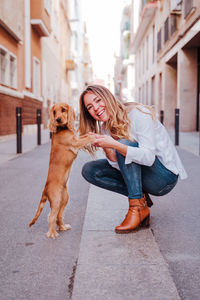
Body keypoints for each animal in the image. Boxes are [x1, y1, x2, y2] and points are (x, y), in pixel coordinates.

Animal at [28, 103, 94, 239]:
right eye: (54, 112)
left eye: (63, 110)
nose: (58, 119)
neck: (62, 129)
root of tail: (45, 189)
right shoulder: (75, 143)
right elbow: (87, 138)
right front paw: (95, 135)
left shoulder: (76, 139)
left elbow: (84, 135)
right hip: (56, 199)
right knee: (51, 216)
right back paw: (52, 233)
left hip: (64, 199)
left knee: (59, 215)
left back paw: (62, 226)